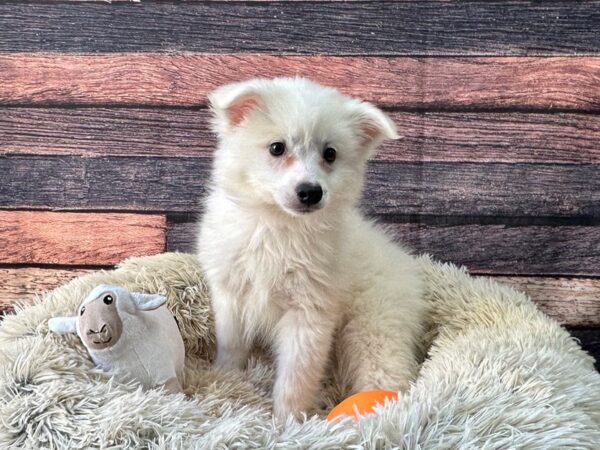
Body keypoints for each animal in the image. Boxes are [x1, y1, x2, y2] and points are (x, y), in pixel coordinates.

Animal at [199, 76, 428, 418]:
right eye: (277, 148)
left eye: (330, 154)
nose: (310, 192)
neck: (279, 225)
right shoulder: (231, 294)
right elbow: (231, 345)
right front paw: (228, 379)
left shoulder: (309, 312)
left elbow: (295, 376)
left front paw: (288, 420)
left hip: (374, 325)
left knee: (386, 369)